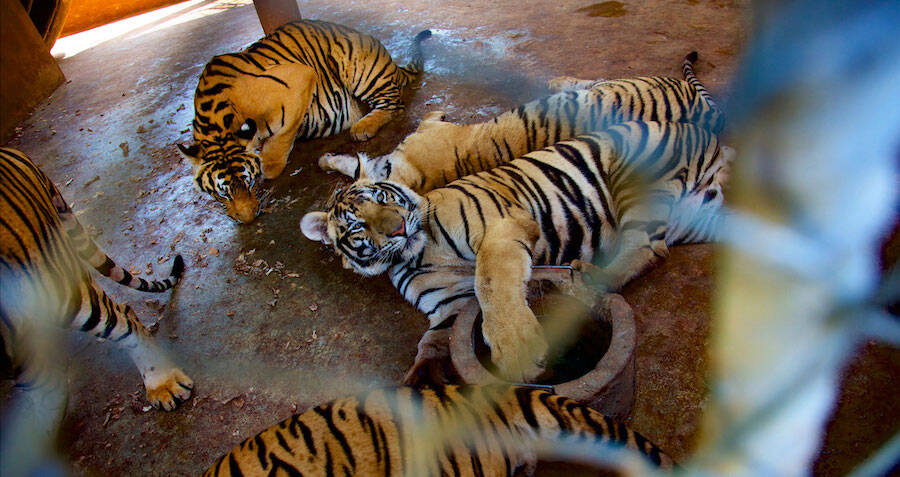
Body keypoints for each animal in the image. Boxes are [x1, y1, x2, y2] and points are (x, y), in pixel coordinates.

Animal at [177, 19, 432, 224]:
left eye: (249, 183)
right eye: (223, 193)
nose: (248, 219)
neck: (217, 124)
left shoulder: (300, 78)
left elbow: (277, 147)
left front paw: (269, 161)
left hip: (357, 65)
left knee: (393, 104)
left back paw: (362, 126)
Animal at [302, 120, 732, 384]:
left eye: (381, 197)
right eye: (356, 226)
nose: (397, 228)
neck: (416, 253)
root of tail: (706, 134)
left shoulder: (500, 226)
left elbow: (491, 282)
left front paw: (518, 352)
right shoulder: (450, 304)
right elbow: (434, 341)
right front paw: (423, 380)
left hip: (633, 179)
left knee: (647, 245)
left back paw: (589, 276)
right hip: (701, 218)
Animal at [320, 51, 720, 192]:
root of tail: (706, 110)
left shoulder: (426, 132)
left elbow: (425, 121)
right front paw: (328, 159)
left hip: (619, 84)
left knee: (589, 81)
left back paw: (557, 80)